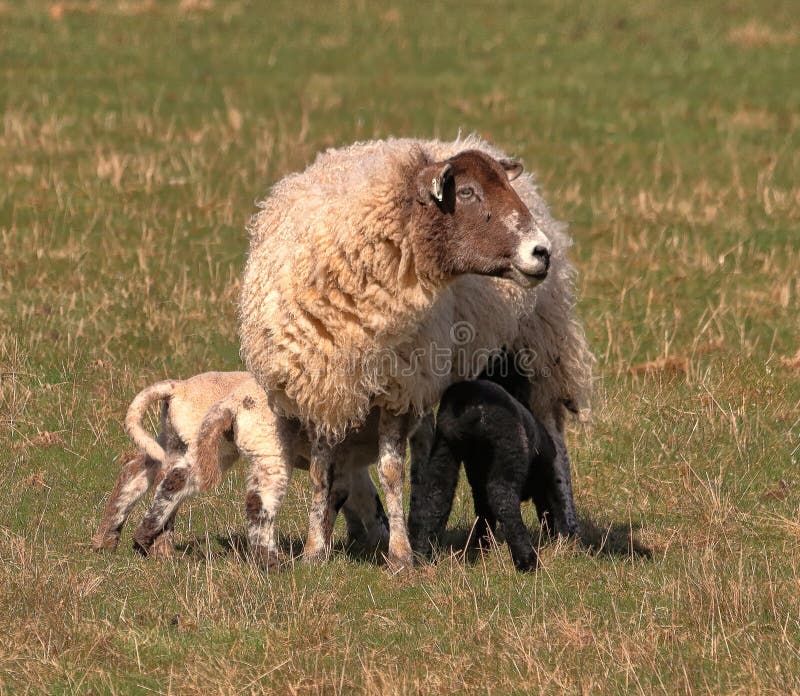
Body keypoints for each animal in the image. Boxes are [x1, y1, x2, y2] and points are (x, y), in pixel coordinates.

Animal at [92, 372, 388, 566]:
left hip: (176, 439)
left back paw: (111, 540)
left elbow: (364, 501)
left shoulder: (352, 464)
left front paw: (372, 543)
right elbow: (345, 500)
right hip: (224, 442)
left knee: (140, 472)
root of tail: (178, 387)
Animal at [408, 353, 565, 572]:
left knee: (437, 497)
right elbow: (549, 508)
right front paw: (555, 538)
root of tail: (469, 408)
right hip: (508, 450)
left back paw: (424, 557)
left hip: (445, 449)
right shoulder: (545, 478)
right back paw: (527, 561)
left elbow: (482, 511)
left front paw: (482, 546)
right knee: (504, 500)